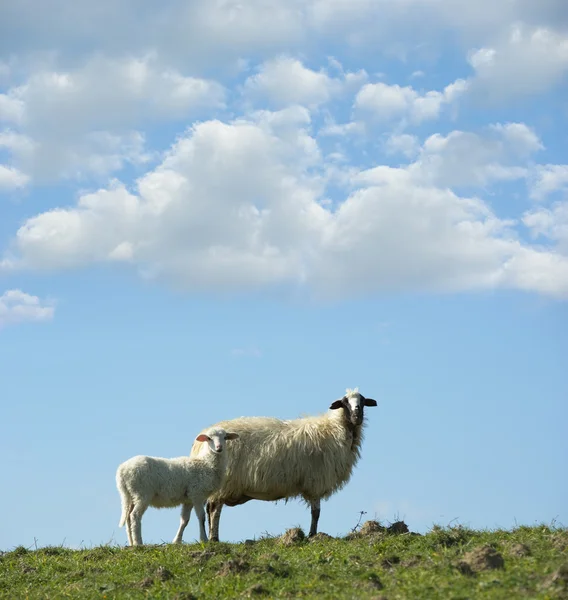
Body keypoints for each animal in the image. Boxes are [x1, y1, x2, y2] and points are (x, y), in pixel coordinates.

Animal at [190, 386, 378, 540]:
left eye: (363, 402)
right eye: (345, 403)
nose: (357, 417)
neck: (335, 430)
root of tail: (202, 439)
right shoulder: (316, 481)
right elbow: (316, 513)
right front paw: (312, 535)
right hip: (224, 484)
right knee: (214, 509)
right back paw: (214, 538)